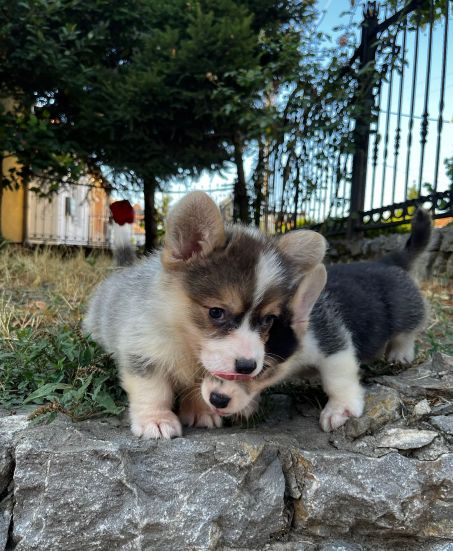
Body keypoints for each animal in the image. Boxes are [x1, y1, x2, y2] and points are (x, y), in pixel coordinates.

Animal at [83, 192, 326, 438]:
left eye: (268, 320)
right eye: (216, 312)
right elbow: (153, 389)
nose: (247, 367)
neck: (187, 343)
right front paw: (156, 419)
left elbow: (200, 387)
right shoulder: (142, 351)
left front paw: (201, 412)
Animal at [201, 209, 430, 434]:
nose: (217, 400)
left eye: (262, 369)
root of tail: (386, 261)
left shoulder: (334, 346)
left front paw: (340, 409)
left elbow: (337, 379)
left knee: (408, 331)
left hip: (406, 311)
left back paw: (400, 354)